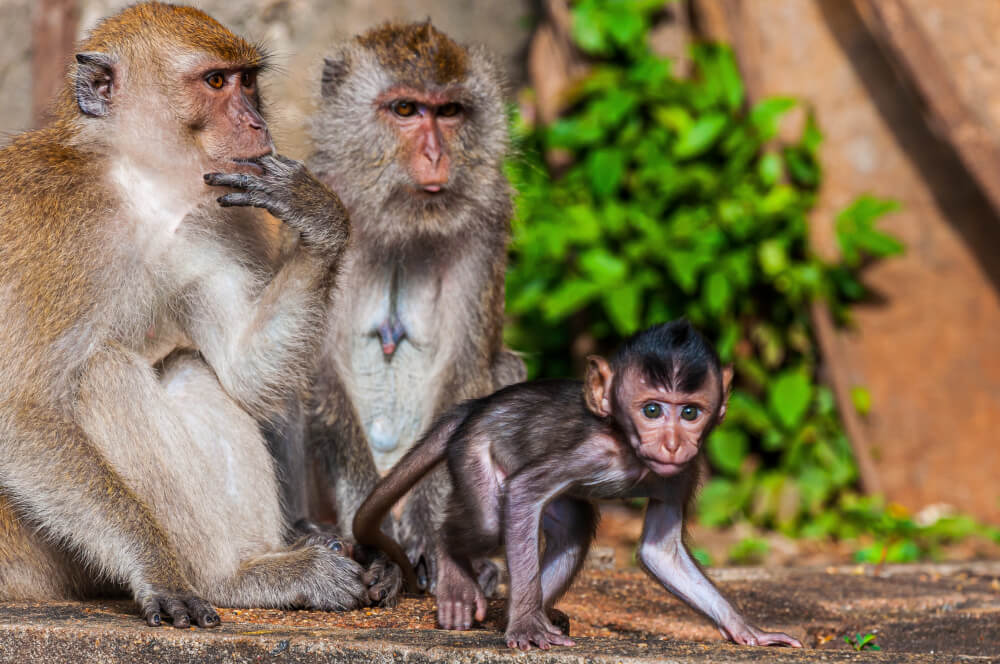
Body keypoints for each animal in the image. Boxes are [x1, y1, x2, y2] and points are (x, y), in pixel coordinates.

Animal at [0, 2, 382, 627]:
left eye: (248, 81)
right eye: (216, 82)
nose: (257, 124)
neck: (134, 183)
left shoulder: (213, 220)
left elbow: (241, 370)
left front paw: (320, 216)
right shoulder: (58, 229)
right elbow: (20, 412)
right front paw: (157, 568)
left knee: (189, 365)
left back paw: (260, 568)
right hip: (32, 555)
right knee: (102, 374)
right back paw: (221, 578)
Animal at [273, 21, 525, 600]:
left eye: (449, 111)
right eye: (406, 110)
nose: (435, 157)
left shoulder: (487, 221)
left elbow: (466, 370)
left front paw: (430, 538)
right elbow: (320, 371)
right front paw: (376, 547)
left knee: (505, 371)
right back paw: (309, 534)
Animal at [353, 320, 804, 651]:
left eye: (690, 413)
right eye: (652, 410)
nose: (673, 444)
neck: (629, 450)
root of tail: (477, 405)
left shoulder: (684, 472)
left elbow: (660, 551)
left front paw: (746, 630)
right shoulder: (589, 451)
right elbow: (523, 492)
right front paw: (525, 628)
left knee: (573, 526)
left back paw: (523, 614)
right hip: (473, 450)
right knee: (486, 523)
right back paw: (458, 571)